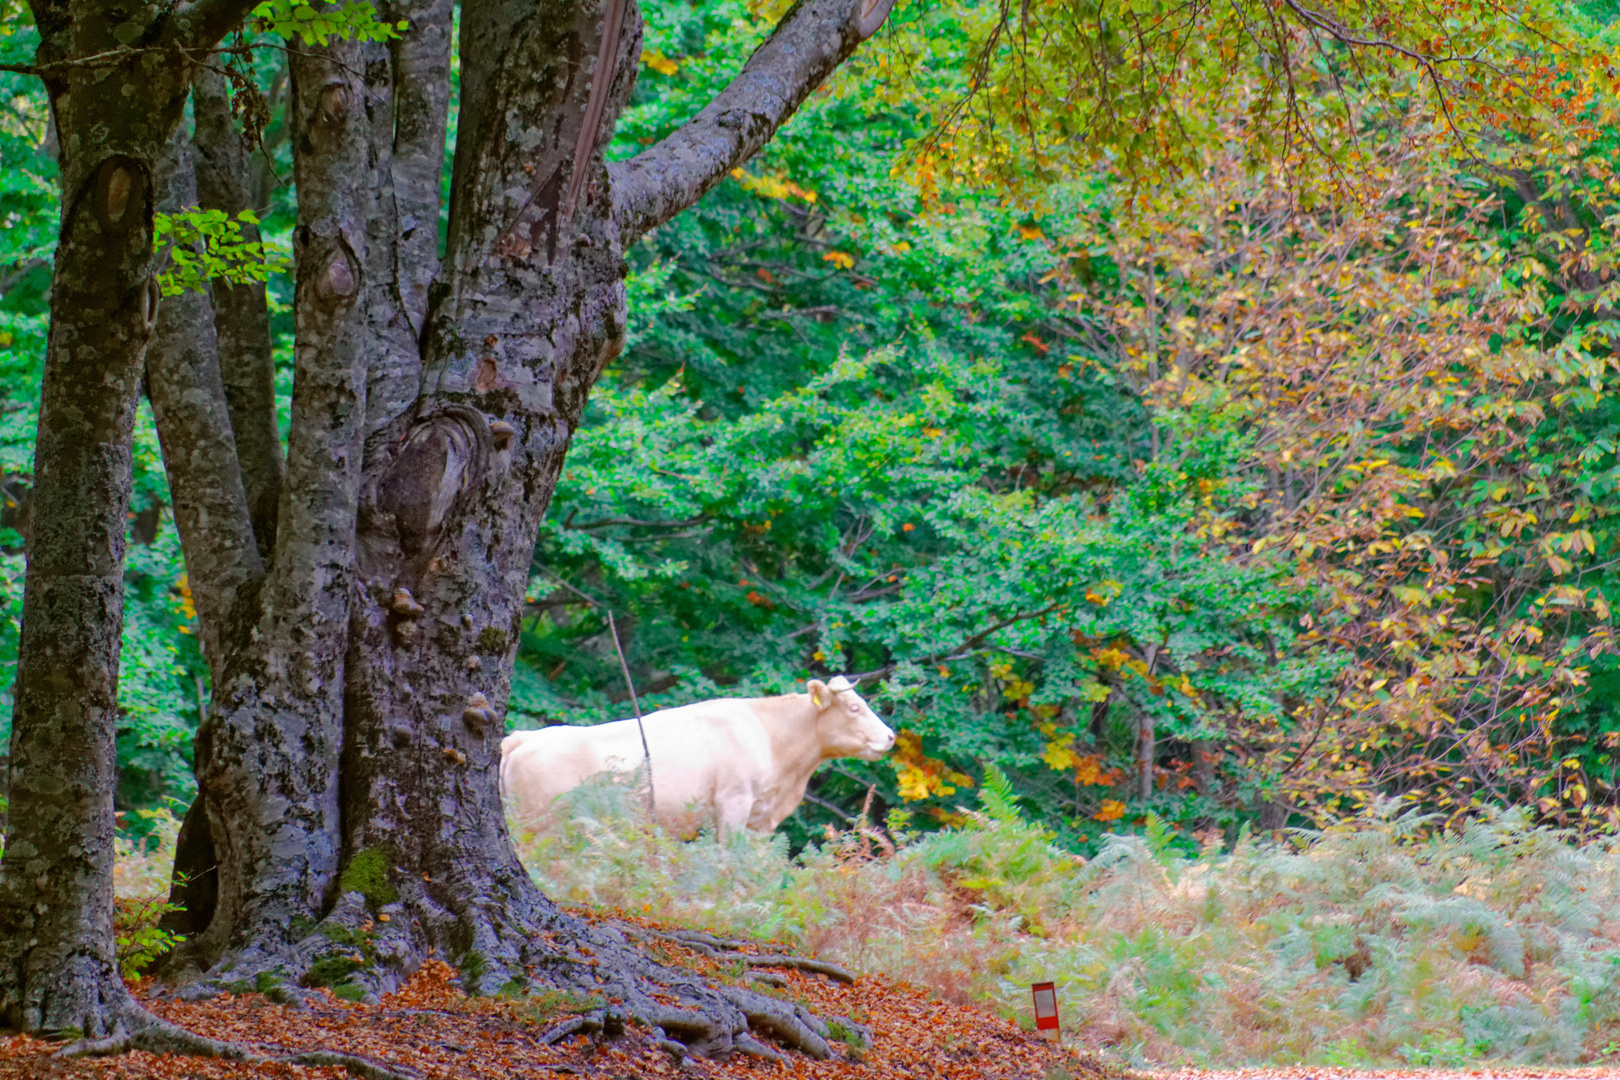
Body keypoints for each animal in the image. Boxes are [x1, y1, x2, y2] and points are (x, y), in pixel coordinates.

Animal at [495, 680, 894, 841]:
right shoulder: (733, 806)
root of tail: (523, 737)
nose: (890, 736)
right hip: (539, 823)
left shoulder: (759, 820)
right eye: (855, 708)